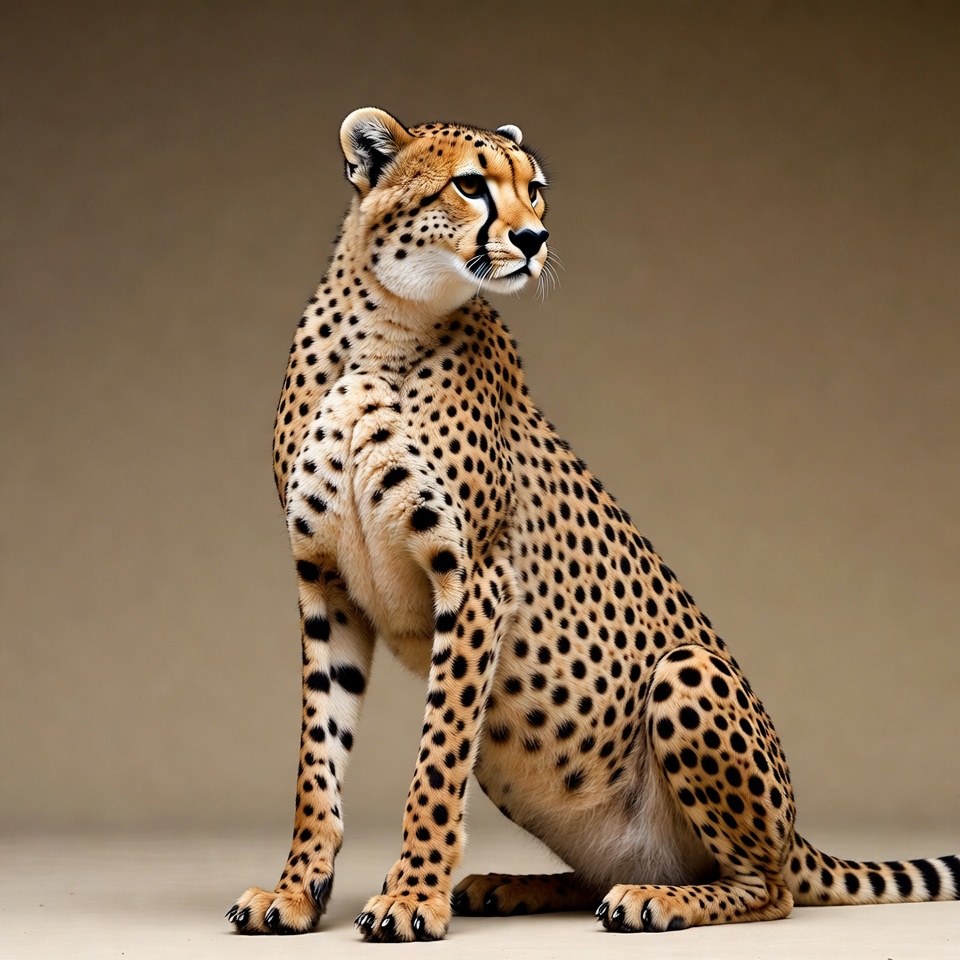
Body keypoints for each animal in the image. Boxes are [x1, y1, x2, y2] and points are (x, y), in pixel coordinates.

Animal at [227, 107, 959, 941]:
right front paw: (296, 891)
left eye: (536, 190)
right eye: (471, 185)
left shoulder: (476, 577)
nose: (533, 238)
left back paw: (657, 901)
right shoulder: (326, 585)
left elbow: (436, 757)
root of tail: (794, 831)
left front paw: (412, 895)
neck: (383, 328)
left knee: (767, 890)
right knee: (617, 866)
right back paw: (511, 885)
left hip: (684, 670)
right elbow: (318, 757)